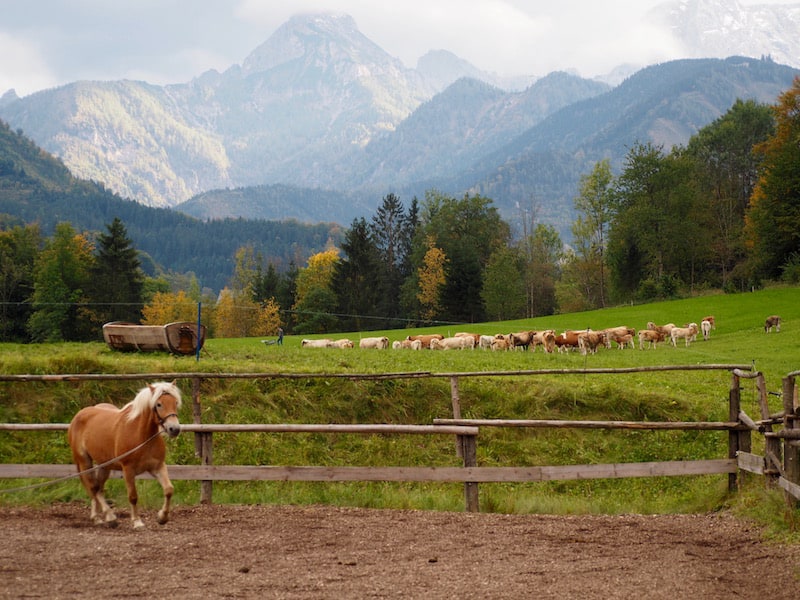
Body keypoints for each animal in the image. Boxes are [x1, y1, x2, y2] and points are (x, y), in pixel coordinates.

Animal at [67, 380, 183, 528]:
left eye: (175, 402)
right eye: (159, 404)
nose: (174, 429)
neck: (142, 436)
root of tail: (79, 415)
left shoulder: (158, 467)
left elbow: (169, 490)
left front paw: (162, 517)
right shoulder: (128, 469)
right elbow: (133, 496)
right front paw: (137, 522)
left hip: (104, 465)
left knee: (98, 488)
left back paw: (105, 517)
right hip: (84, 461)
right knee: (93, 487)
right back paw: (103, 517)